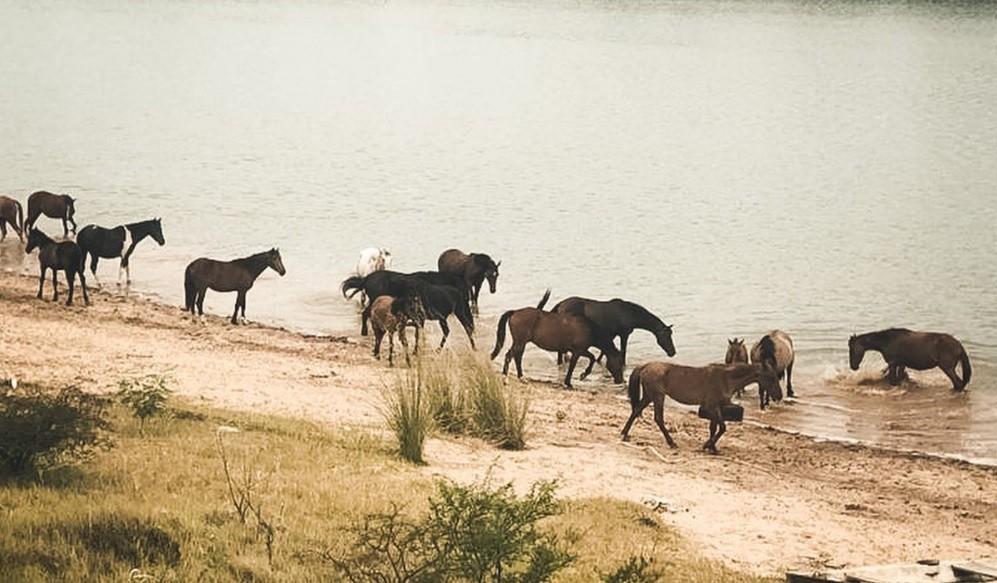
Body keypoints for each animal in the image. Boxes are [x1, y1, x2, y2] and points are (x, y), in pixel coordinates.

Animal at [343, 270, 476, 349]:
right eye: (465, 288)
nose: (468, 298)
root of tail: (367, 278)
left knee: (365, 313)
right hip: (375, 299)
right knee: (366, 313)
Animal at [491, 290, 624, 389]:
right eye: (618, 364)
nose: (621, 381)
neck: (588, 328)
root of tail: (515, 312)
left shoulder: (578, 351)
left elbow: (589, 359)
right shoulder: (578, 351)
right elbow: (580, 363)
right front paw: (573, 380)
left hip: (521, 343)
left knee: (517, 358)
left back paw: (521, 378)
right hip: (519, 342)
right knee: (509, 356)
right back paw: (505, 380)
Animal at [621, 362, 781, 453]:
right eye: (772, 377)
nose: (779, 396)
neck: (725, 378)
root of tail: (645, 366)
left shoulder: (716, 407)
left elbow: (714, 428)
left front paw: (713, 448)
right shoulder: (712, 406)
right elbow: (722, 428)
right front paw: (707, 445)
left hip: (649, 396)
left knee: (636, 411)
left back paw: (625, 434)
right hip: (658, 396)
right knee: (658, 418)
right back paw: (671, 442)